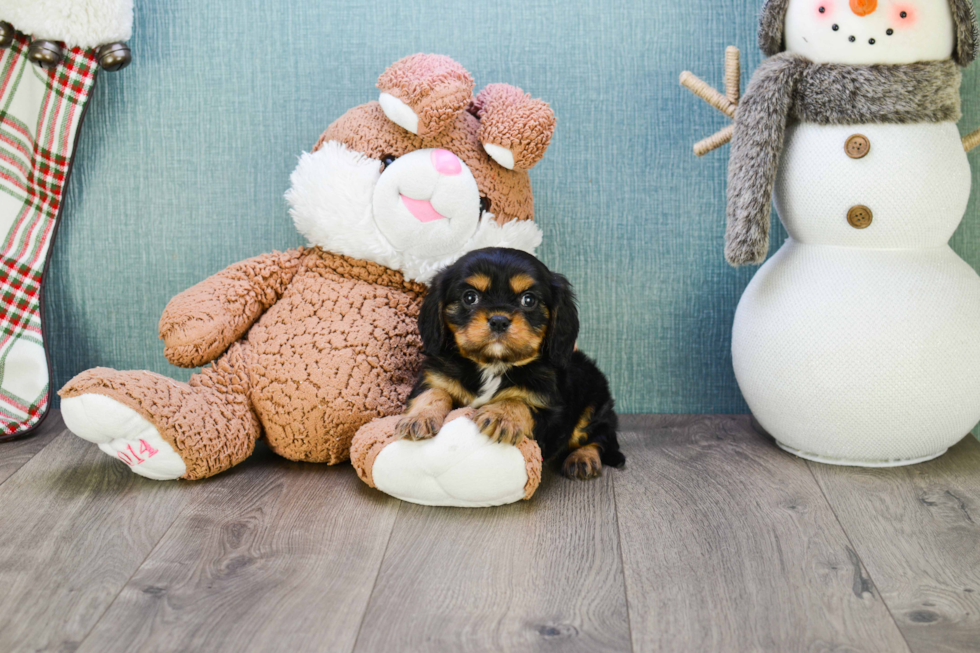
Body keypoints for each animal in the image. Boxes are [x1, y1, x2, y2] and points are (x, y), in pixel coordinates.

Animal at [392, 247, 628, 476]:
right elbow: (433, 393)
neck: (493, 364)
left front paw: (501, 415)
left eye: (528, 299)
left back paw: (582, 459)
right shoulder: (434, 377)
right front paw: (419, 417)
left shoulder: (551, 412)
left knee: (598, 439)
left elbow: (519, 402)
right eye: (470, 297)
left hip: (593, 406)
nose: (499, 320)